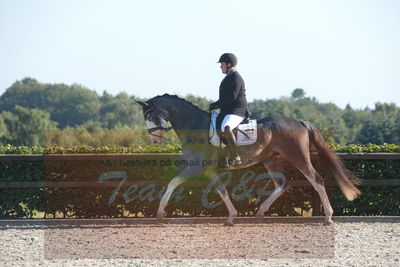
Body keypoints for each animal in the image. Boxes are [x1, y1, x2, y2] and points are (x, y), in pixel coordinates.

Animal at [136, 94, 360, 226]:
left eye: (150, 116)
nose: (155, 141)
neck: (194, 124)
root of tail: (298, 121)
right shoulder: (208, 169)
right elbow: (221, 189)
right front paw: (232, 216)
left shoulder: (196, 167)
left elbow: (172, 182)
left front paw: (160, 212)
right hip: (272, 161)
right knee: (282, 184)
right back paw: (260, 212)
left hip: (298, 157)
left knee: (317, 181)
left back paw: (328, 217)